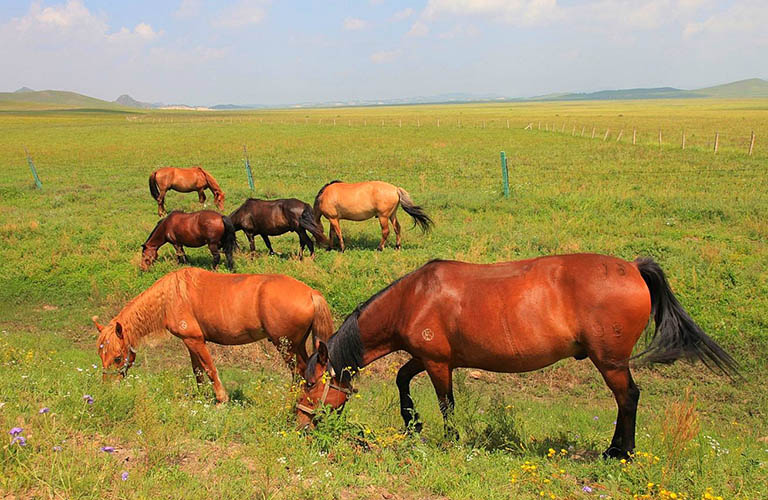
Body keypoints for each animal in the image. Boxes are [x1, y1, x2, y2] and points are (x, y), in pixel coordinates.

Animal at [91, 268, 332, 404]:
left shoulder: (196, 341)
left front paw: (221, 398)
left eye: (117, 358)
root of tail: (312, 293)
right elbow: (197, 371)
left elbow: (209, 369)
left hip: (287, 346)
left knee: (298, 371)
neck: (171, 297)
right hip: (297, 345)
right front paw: (201, 397)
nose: (107, 388)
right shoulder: (190, 343)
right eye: (101, 356)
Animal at [296, 256, 736, 458]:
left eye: (309, 382)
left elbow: (446, 403)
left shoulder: (438, 363)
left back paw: (620, 453)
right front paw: (411, 423)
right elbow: (403, 378)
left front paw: (450, 439)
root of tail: (632, 266)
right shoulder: (430, 357)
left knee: (628, 398)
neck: (414, 298)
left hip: (610, 361)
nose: (299, 424)